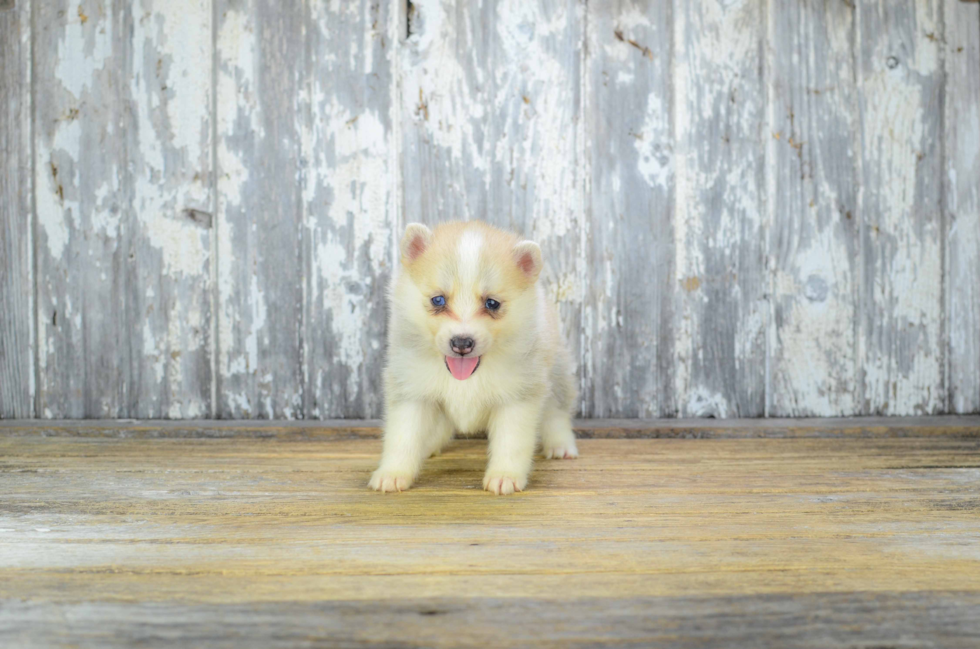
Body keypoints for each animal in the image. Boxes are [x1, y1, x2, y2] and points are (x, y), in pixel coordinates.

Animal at [372, 220, 580, 494]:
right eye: (438, 299)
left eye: (492, 303)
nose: (462, 343)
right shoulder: (412, 392)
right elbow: (402, 438)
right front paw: (393, 473)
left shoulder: (516, 398)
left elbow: (511, 443)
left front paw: (505, 476)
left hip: (557, 376)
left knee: (556, 414)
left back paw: (561, 446)